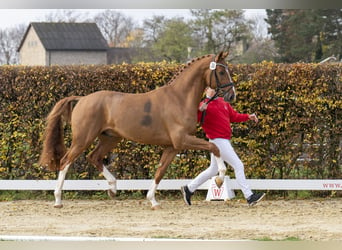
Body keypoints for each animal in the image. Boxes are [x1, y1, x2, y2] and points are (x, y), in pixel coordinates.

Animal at [39, 51, 235, 209]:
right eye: (221, 71)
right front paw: (219, 178)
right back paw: (58, 200)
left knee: (94, 157)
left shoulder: (173, 146)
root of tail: (82, 99)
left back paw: (113, 188)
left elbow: (160, 171)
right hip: (83, 139)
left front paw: (153, 201)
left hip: (110, 138)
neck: (179, 98)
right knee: (65, 161)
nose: (231, 95)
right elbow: (214, 147)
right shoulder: (182, 140)